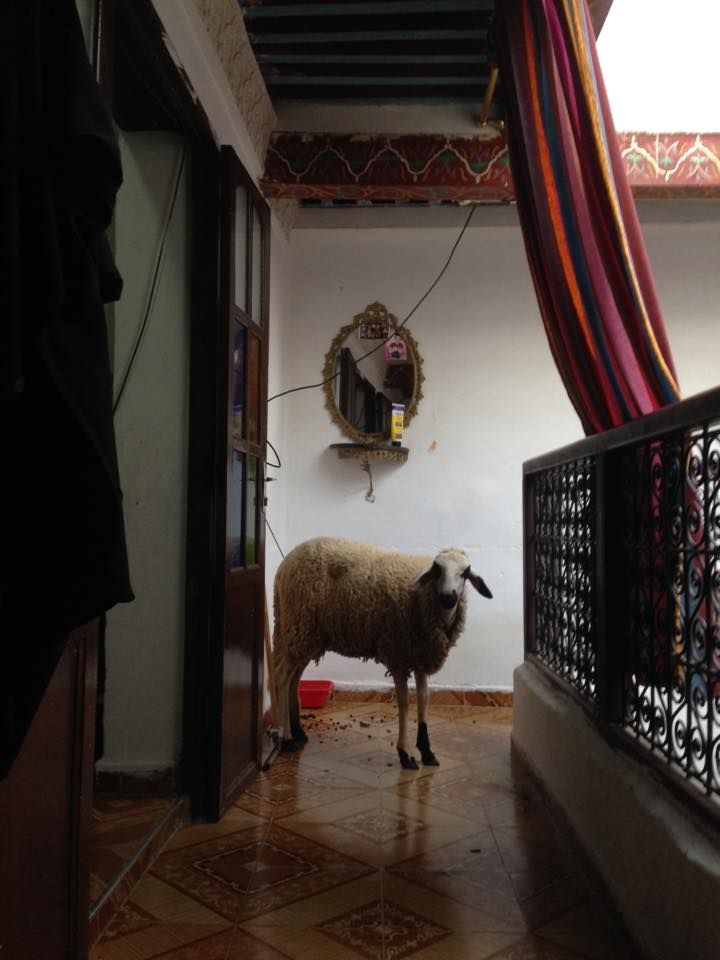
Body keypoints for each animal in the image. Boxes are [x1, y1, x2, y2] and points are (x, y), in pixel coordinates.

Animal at [272, 537, 492, 769]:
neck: (425, 603)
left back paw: (297, 731)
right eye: (437, 569)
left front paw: (426, 750)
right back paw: (286, 738)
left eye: (465, 572)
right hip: (298, 626)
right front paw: (405, 753)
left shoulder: (420, 654)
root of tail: (284, 565)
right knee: (282, 677)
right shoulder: (398, 654)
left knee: (294, 678)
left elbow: (424, 698)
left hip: (305, 635)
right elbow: (404, 701)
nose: (448, 597)